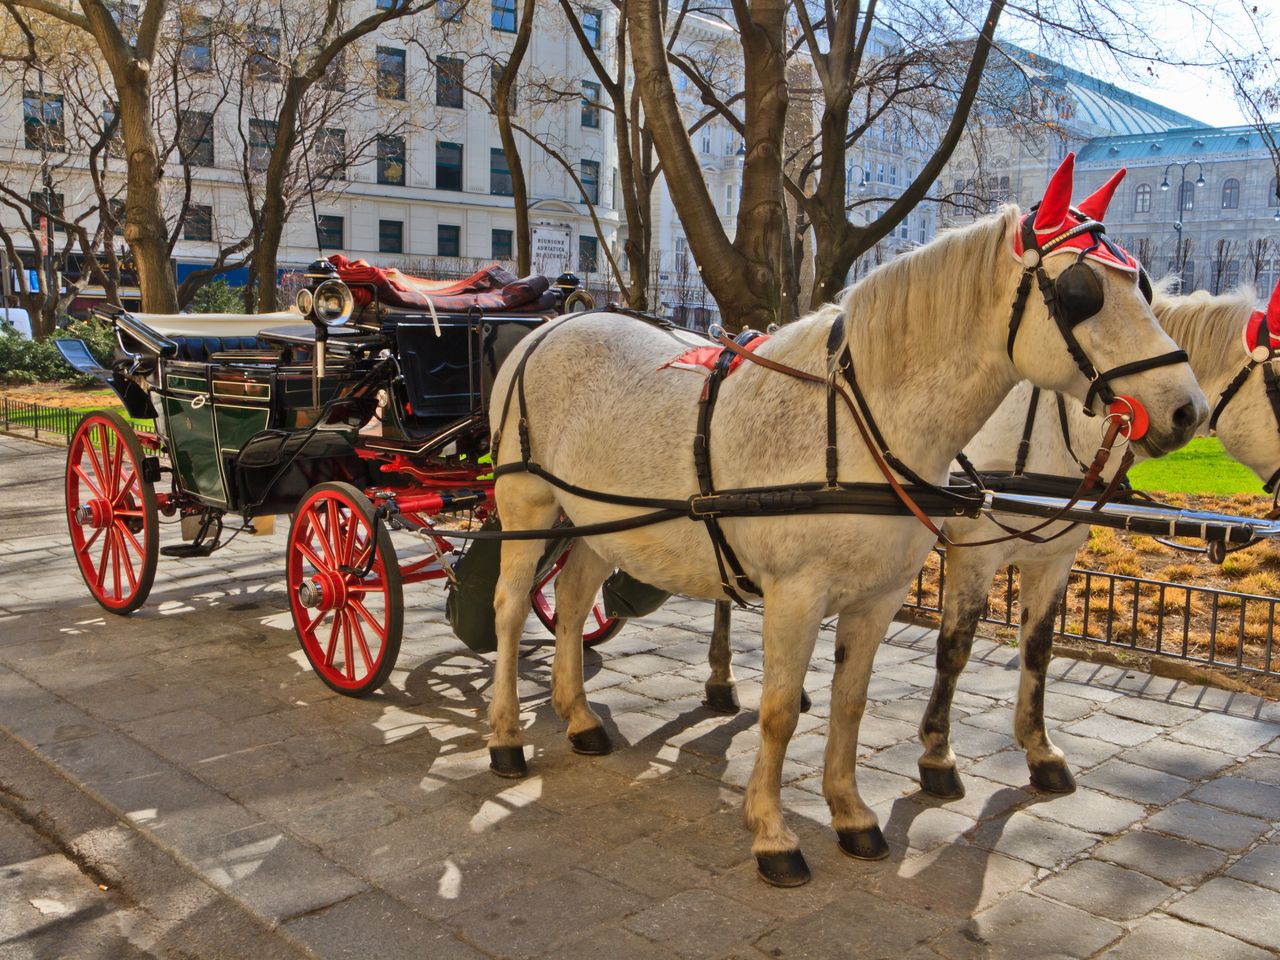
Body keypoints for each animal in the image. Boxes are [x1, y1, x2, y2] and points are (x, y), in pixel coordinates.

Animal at [483, 158, 1203, 885]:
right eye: (1082, 292)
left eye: (1143, 286)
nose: (1187, 410)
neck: (863, 425)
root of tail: (552, 326)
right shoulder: (796, 594)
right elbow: (778, 712)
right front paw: (771, 832)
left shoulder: (881, 595)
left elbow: (850, 702)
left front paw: (851, 813)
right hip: (527, 503)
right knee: (512, 608)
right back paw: (506, 736)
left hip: (598, 519)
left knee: (573, 599)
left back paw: (578, 718)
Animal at [916, 280, 1280, 803]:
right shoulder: (976, 553)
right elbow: (955, 647)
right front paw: (938, 754)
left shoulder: (1054, 557)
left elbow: (1038, 647)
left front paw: (1040, 750)